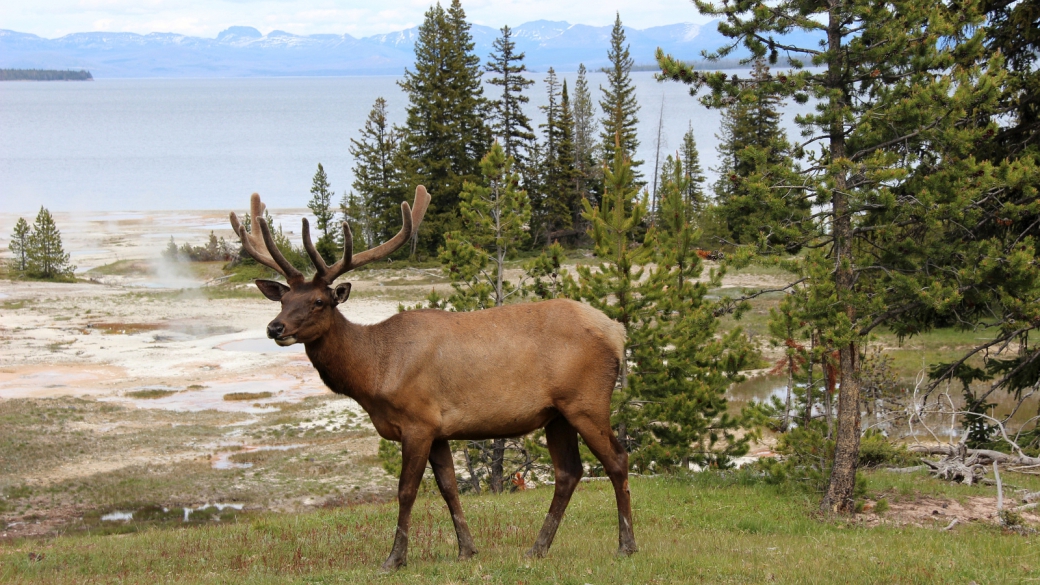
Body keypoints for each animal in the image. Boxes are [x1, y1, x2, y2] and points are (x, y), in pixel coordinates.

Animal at [231, 187, 636, 570]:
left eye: (318, 301)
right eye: (282, 301)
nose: (275, 328)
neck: (375, 371)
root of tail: (617, 332)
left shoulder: (418, 421)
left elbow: (406, 490)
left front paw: (394, 558)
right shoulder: (438, 429)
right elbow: (449, 487)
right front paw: (467, 550)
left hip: (586, 400)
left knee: (617, 459)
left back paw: (626, 545)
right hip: (557, 414)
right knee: (568, 471)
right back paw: (537, 548)